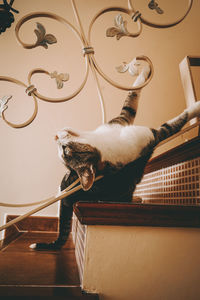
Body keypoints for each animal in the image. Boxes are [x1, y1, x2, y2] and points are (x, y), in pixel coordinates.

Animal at [29, 90, 200, 250]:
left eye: (63, 150)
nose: (55, 137)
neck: (102, 140)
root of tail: (67, 199)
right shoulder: (154, 136)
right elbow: (176, 122)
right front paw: (196, 107)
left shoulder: (121, 120)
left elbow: (130, 100)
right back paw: (136, 199)